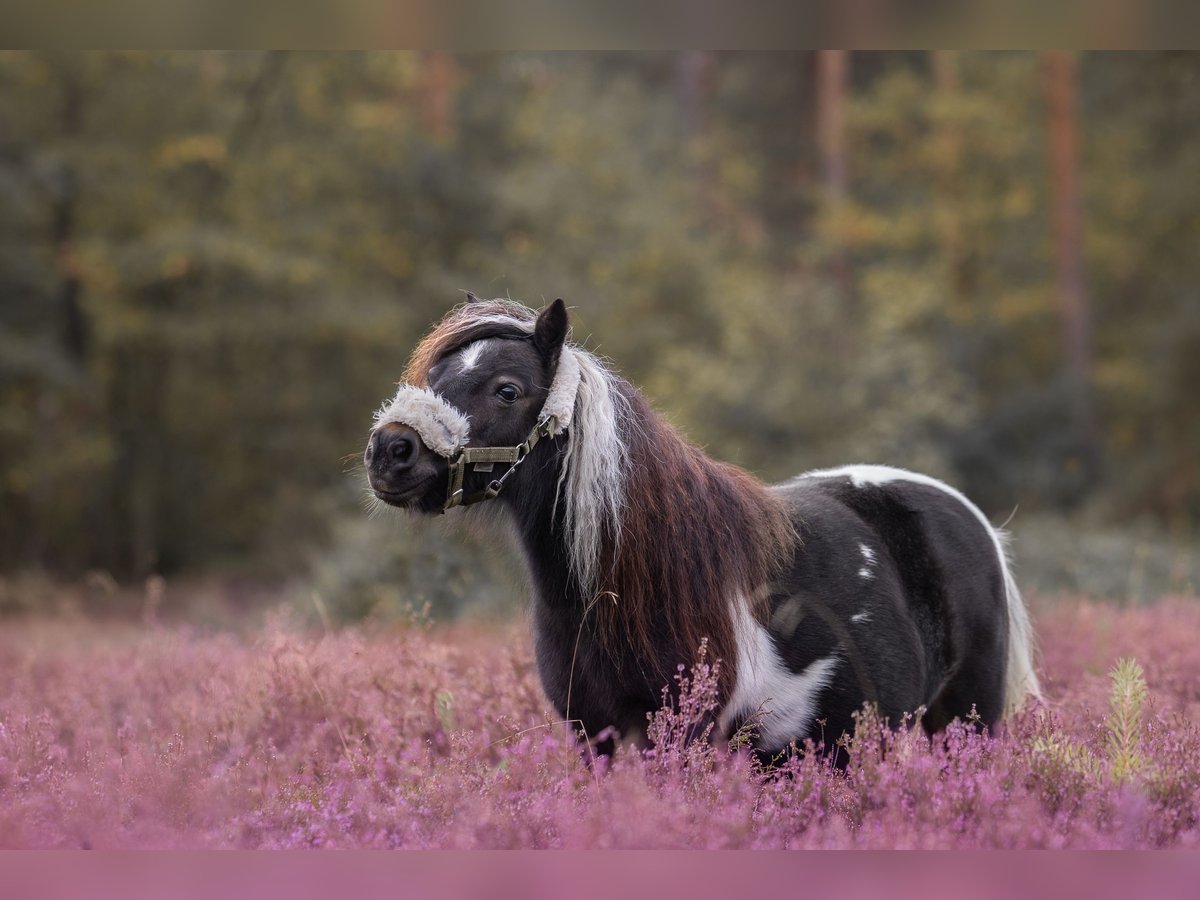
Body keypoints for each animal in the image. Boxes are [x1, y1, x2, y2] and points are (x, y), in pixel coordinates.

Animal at [362, 300, 1041, 758]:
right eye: (432, 378)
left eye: (507, 390)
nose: (390, 451)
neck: (630, 585)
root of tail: (967, 517)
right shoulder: (595, 739)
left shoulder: (679, 739)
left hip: (963, 723)